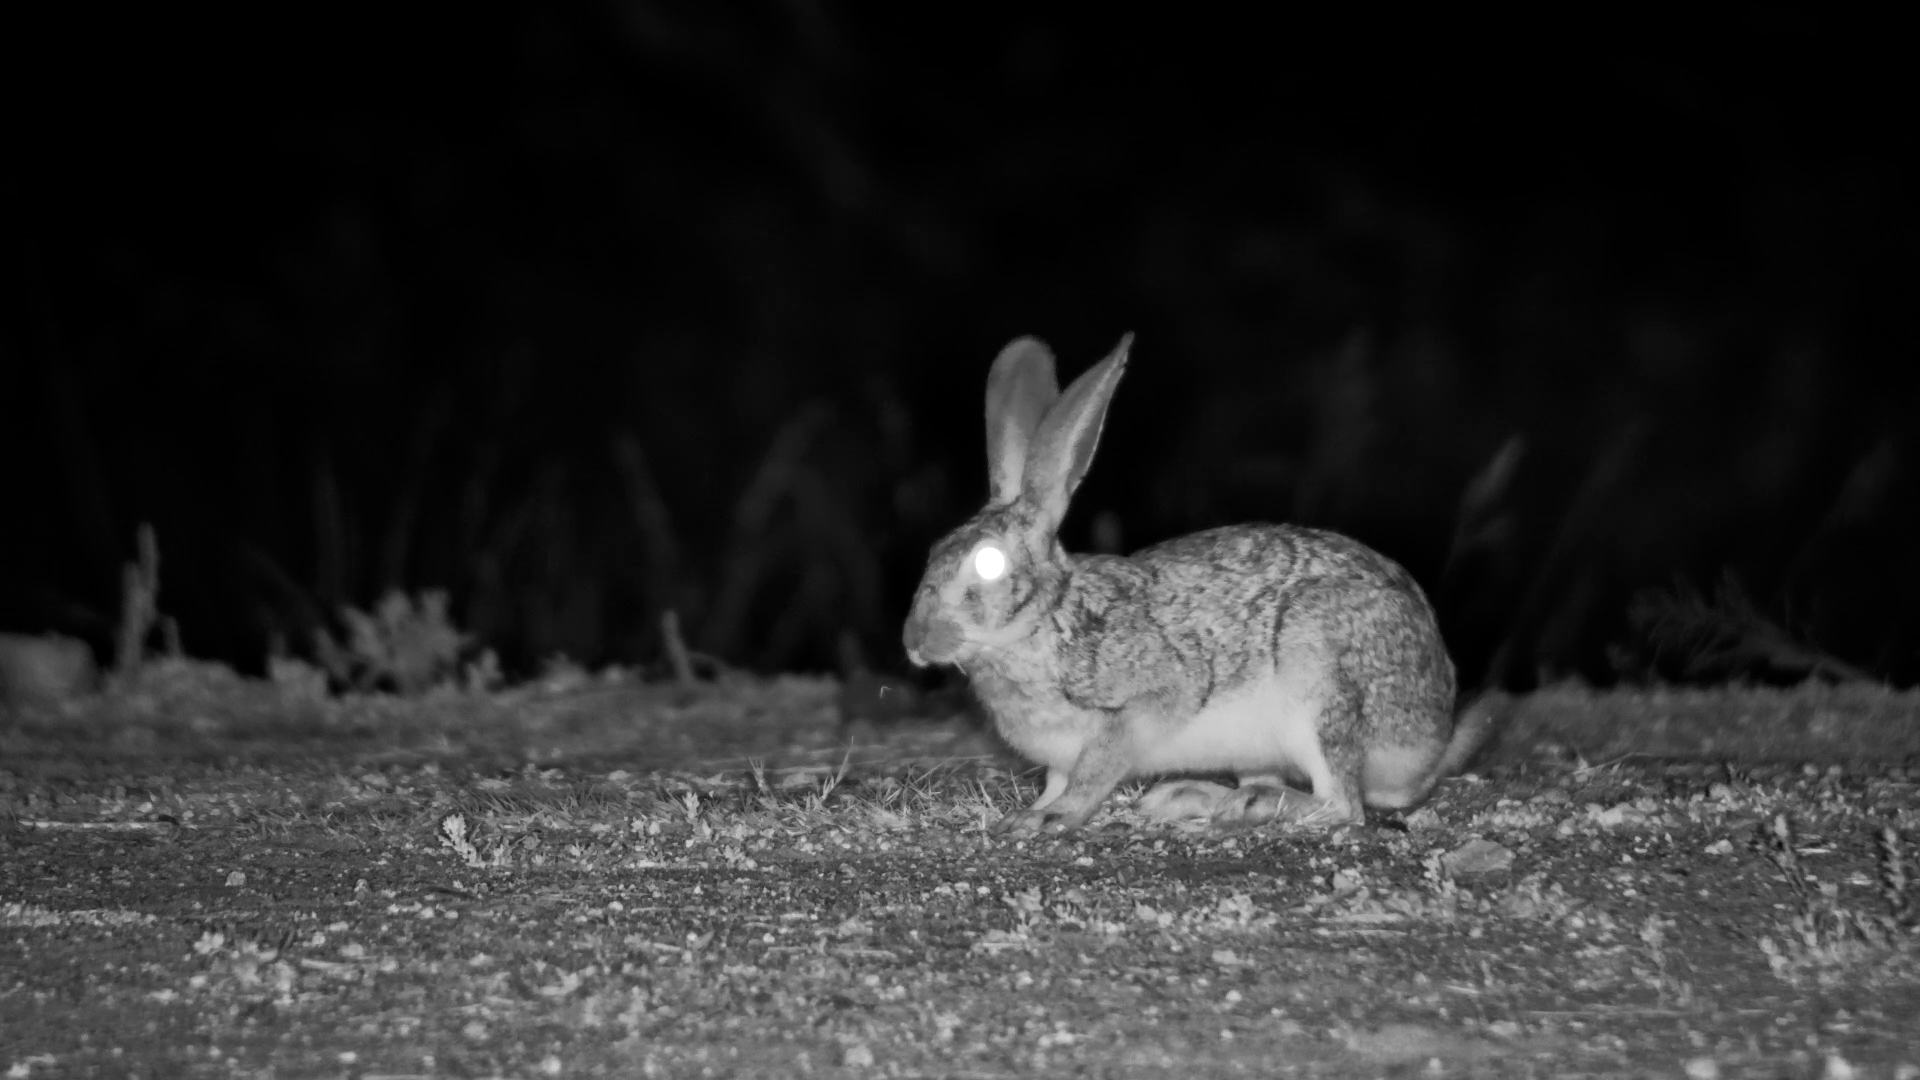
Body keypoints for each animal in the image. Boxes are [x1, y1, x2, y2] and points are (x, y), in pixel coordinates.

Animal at [901, 334, 1492, 835]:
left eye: (988, 564)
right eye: (933, 551)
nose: (914, 640)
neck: (1046, 622)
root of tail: (1434, 740)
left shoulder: (1147, 700)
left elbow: (1097, 767)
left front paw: (1050, 818)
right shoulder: (1058, 757)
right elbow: (1057, 778)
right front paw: (1032, 811)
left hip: (1320, 684)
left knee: (1344, 805)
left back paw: (1251, 804)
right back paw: (1194, 797)